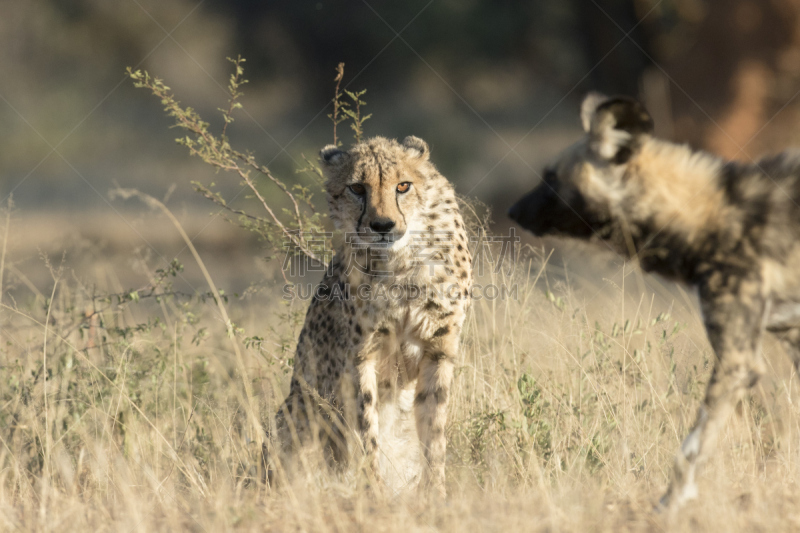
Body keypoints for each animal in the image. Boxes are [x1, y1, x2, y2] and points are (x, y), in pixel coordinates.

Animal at [266, 136, 472, 494]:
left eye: (403, 186)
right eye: (357, 188)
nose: (382, 226)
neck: (400, 261)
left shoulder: (438, 348)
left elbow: (433, 429)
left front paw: (435, 491)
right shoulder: (362, 355)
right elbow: (366, 428)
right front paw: (374, 490)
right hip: (299, 407)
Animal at [510, 91, 800, 508]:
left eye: (551, 177)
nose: (512, 211)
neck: (707, 215)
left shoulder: (737, 360)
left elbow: (690, 450)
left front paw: (669, 505)